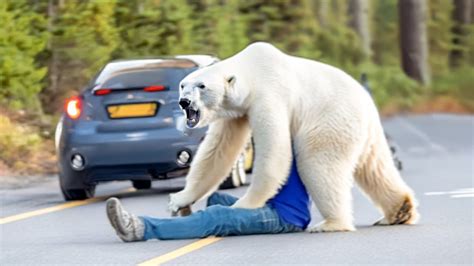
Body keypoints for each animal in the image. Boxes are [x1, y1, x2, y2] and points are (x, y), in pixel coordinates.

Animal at [170, 42, 418, 232]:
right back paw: (400, 211)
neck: (252, 72)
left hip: (331, 121)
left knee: (317, 163)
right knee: (375, 167)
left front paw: (244, 204)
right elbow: (217, 152)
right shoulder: (235, 113)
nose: (184, 102)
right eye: (183, 85)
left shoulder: (268, 97)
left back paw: (331, 223)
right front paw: (180, 200)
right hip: (367, 133)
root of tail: (367, 101)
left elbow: (275, 154)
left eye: (201, 86)